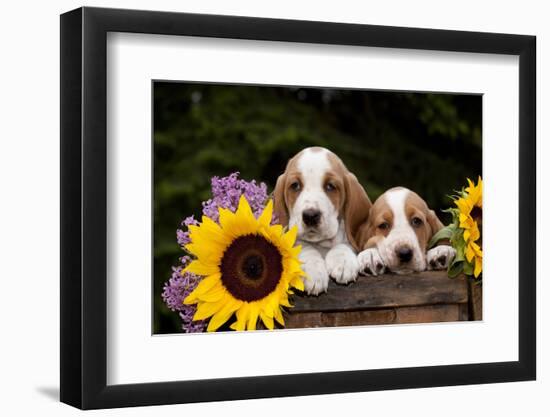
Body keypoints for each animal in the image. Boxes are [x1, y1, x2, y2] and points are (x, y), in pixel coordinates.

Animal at [274, 146, 374, 296]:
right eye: (295, 185)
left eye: (330, 186)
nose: (310, 216)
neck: (321, 244)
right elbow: (305, 247)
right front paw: (313, 271)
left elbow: (344, 243)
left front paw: (342, 261)